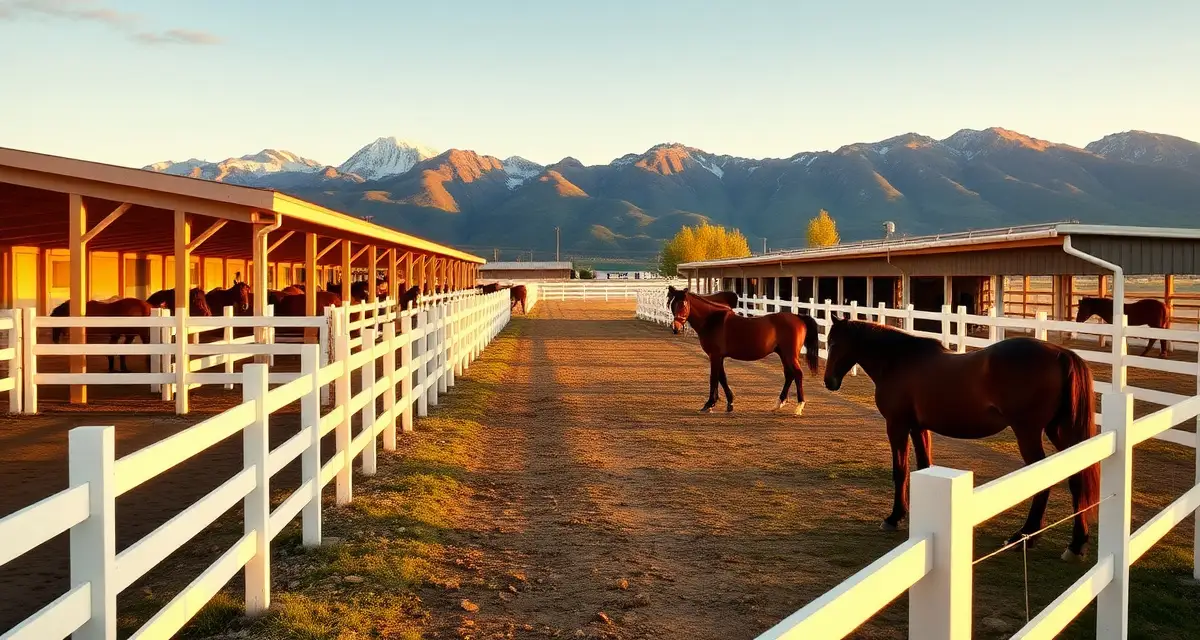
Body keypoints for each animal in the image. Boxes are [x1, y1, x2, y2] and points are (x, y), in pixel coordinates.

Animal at [667, 288, 820, 415]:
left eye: (683, 304)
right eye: (672, 304)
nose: (675, 327)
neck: (712, 320)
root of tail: (798, 317)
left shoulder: (715, 356)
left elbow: (714, 378)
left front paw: (709, 404)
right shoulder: (719, 356)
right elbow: (722, 378)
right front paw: (729, 403)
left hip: (790, 354)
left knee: (798, 374)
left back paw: (799, 407)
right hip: (783, 353)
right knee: (789, 375)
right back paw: (778, 403)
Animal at [822, 316, 1099, 560]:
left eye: (834, 343)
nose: (829, 381)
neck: (899, 361)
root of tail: (1062, 354)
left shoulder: (897, 425)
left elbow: (899, 470)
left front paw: (893, 518)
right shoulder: (918, 428)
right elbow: (923, 466)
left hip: (1028, 432)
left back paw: (1025, 535)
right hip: (1058, 432)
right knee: (1076, 478)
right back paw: (1076, 544)